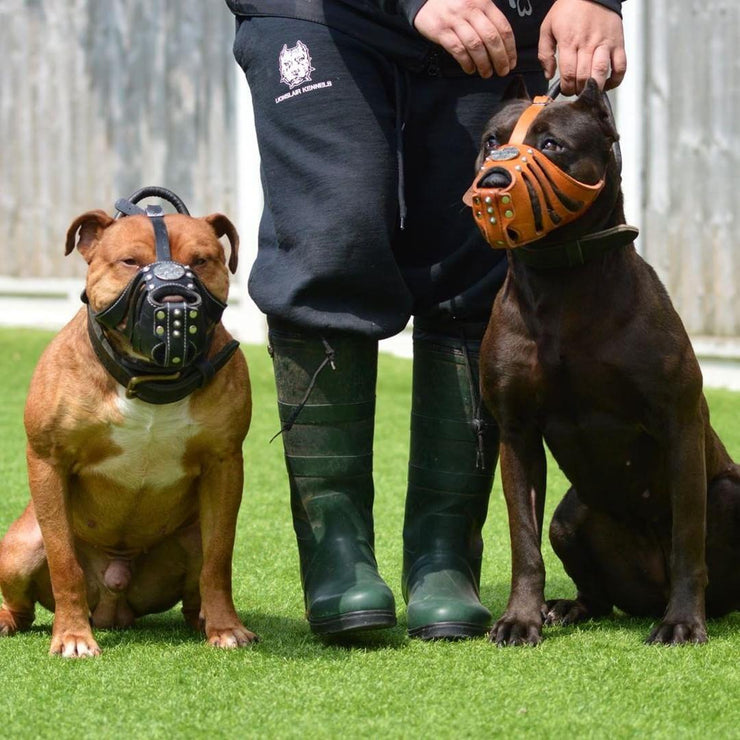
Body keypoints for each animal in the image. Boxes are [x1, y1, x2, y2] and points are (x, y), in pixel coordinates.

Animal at [0, 197, 258, 652]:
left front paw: (227, 629)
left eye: (202, 260)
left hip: (189, 536)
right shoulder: (47, 459)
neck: (151, 380)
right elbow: (64, 562)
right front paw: (72, 637)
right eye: (129, 261)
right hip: (20, 546)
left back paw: (205, 621)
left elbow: (219, 558)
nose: (173, 293)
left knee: (198, 582)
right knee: (24, 604)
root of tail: (114, 607)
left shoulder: (224, 464)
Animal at [474, 81, 740, 644]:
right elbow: (523, 540)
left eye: (551, 144)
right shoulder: (516, 431)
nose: (494, 179)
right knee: (593, 589)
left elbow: (689, 538)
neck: (560, 279)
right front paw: (520, 619)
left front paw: (683, 624)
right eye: (491, 141)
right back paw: (565, 608)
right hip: (570, 516)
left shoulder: (679, 421)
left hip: (732, 490)